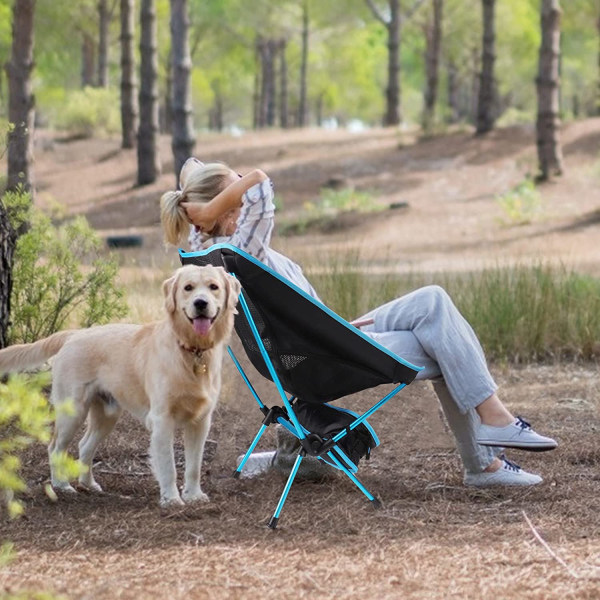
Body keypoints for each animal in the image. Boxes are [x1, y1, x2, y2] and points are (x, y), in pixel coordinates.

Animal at [0, 266, 239, 506]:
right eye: (188, 287)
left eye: (213, 287)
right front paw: (171, 499)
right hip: (73, 411)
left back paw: (88, 484)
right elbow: (169, 466)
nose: (200, 303)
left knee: (84, 446)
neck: (192, 351)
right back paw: (62, 485)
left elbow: (194, 466)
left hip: (107, 414)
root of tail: (74, 333)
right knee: (56, 447)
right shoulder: (162, 419)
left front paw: (194, 495)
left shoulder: (201, 421)